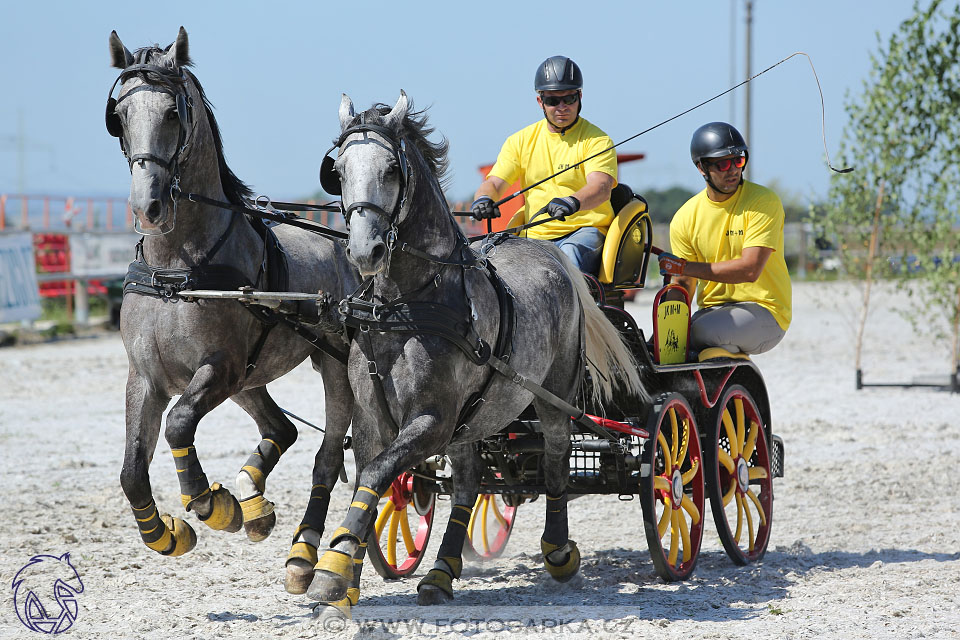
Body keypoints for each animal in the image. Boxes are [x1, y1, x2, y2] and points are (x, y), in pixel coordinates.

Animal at [106, 27, 360, 584]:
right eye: (120, 115)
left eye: (173, 113)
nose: (147, 208)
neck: (176, 271)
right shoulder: (145, 377)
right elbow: (132, 470)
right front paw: (165, 534)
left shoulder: (217, 369)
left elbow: (180, 423)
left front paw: (209, 503)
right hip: (250, 378)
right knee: (280, 428)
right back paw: (255, 504)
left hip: (331, 366)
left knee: (327, 456)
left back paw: (301, 550)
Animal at [304, 92, 648, 616]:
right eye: (337, 171)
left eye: (391, 169)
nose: (365, 251)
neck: (405, 306)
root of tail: (554, 257)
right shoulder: (372, 420)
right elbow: (372, 478)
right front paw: (346, 576)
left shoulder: (432, 419)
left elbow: (380, 472)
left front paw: (331, 573)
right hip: (471, 418)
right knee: (469, 480)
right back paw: (441, 572)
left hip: (552, 396)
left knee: (555, 462)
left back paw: (558, 552)